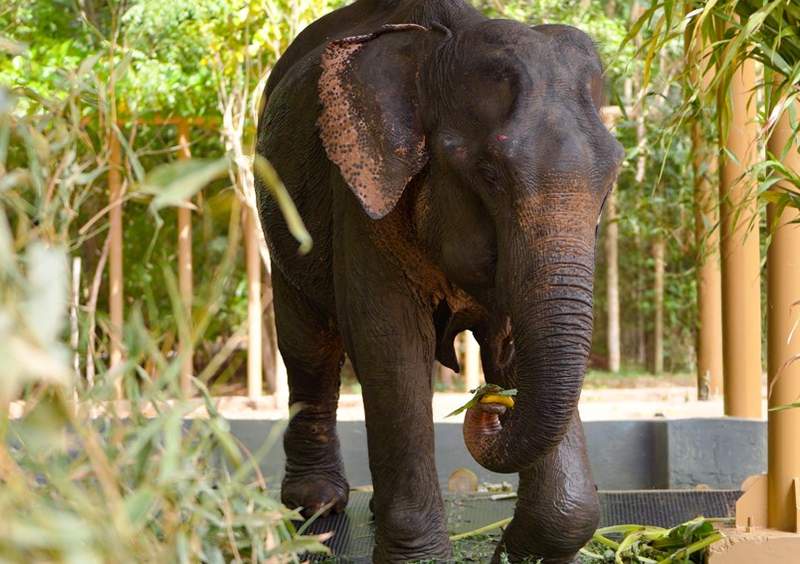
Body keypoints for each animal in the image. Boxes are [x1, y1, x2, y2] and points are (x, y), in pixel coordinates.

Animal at [255, 0, 623, 562]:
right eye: (489, 174)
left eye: (611, 179)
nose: (490, 405)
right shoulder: (361, 193)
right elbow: (390, 341)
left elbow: (511, 346)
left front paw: (523, 547)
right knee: (308, 348)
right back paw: (315, 505)